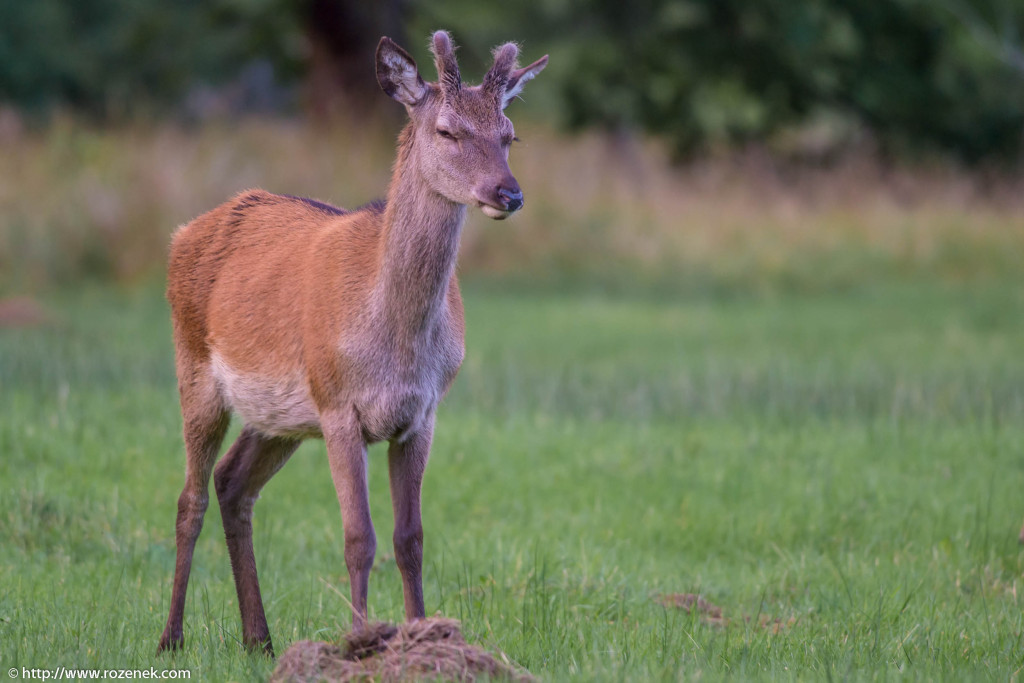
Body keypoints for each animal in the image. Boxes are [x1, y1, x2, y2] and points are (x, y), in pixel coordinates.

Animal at [155, 31, 544, 655]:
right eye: (447, 130)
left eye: (510, 135)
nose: (508, 193)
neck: (394, 342)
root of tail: (181, 234)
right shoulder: (339, 405)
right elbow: (358, 537)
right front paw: (360, 640)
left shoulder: (422, 413)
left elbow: (410, 538)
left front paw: (421, 635)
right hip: (195, 365)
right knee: (189, 499)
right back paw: (171, 638)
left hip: (281, 416)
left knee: (233, 484)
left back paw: (259, 639)